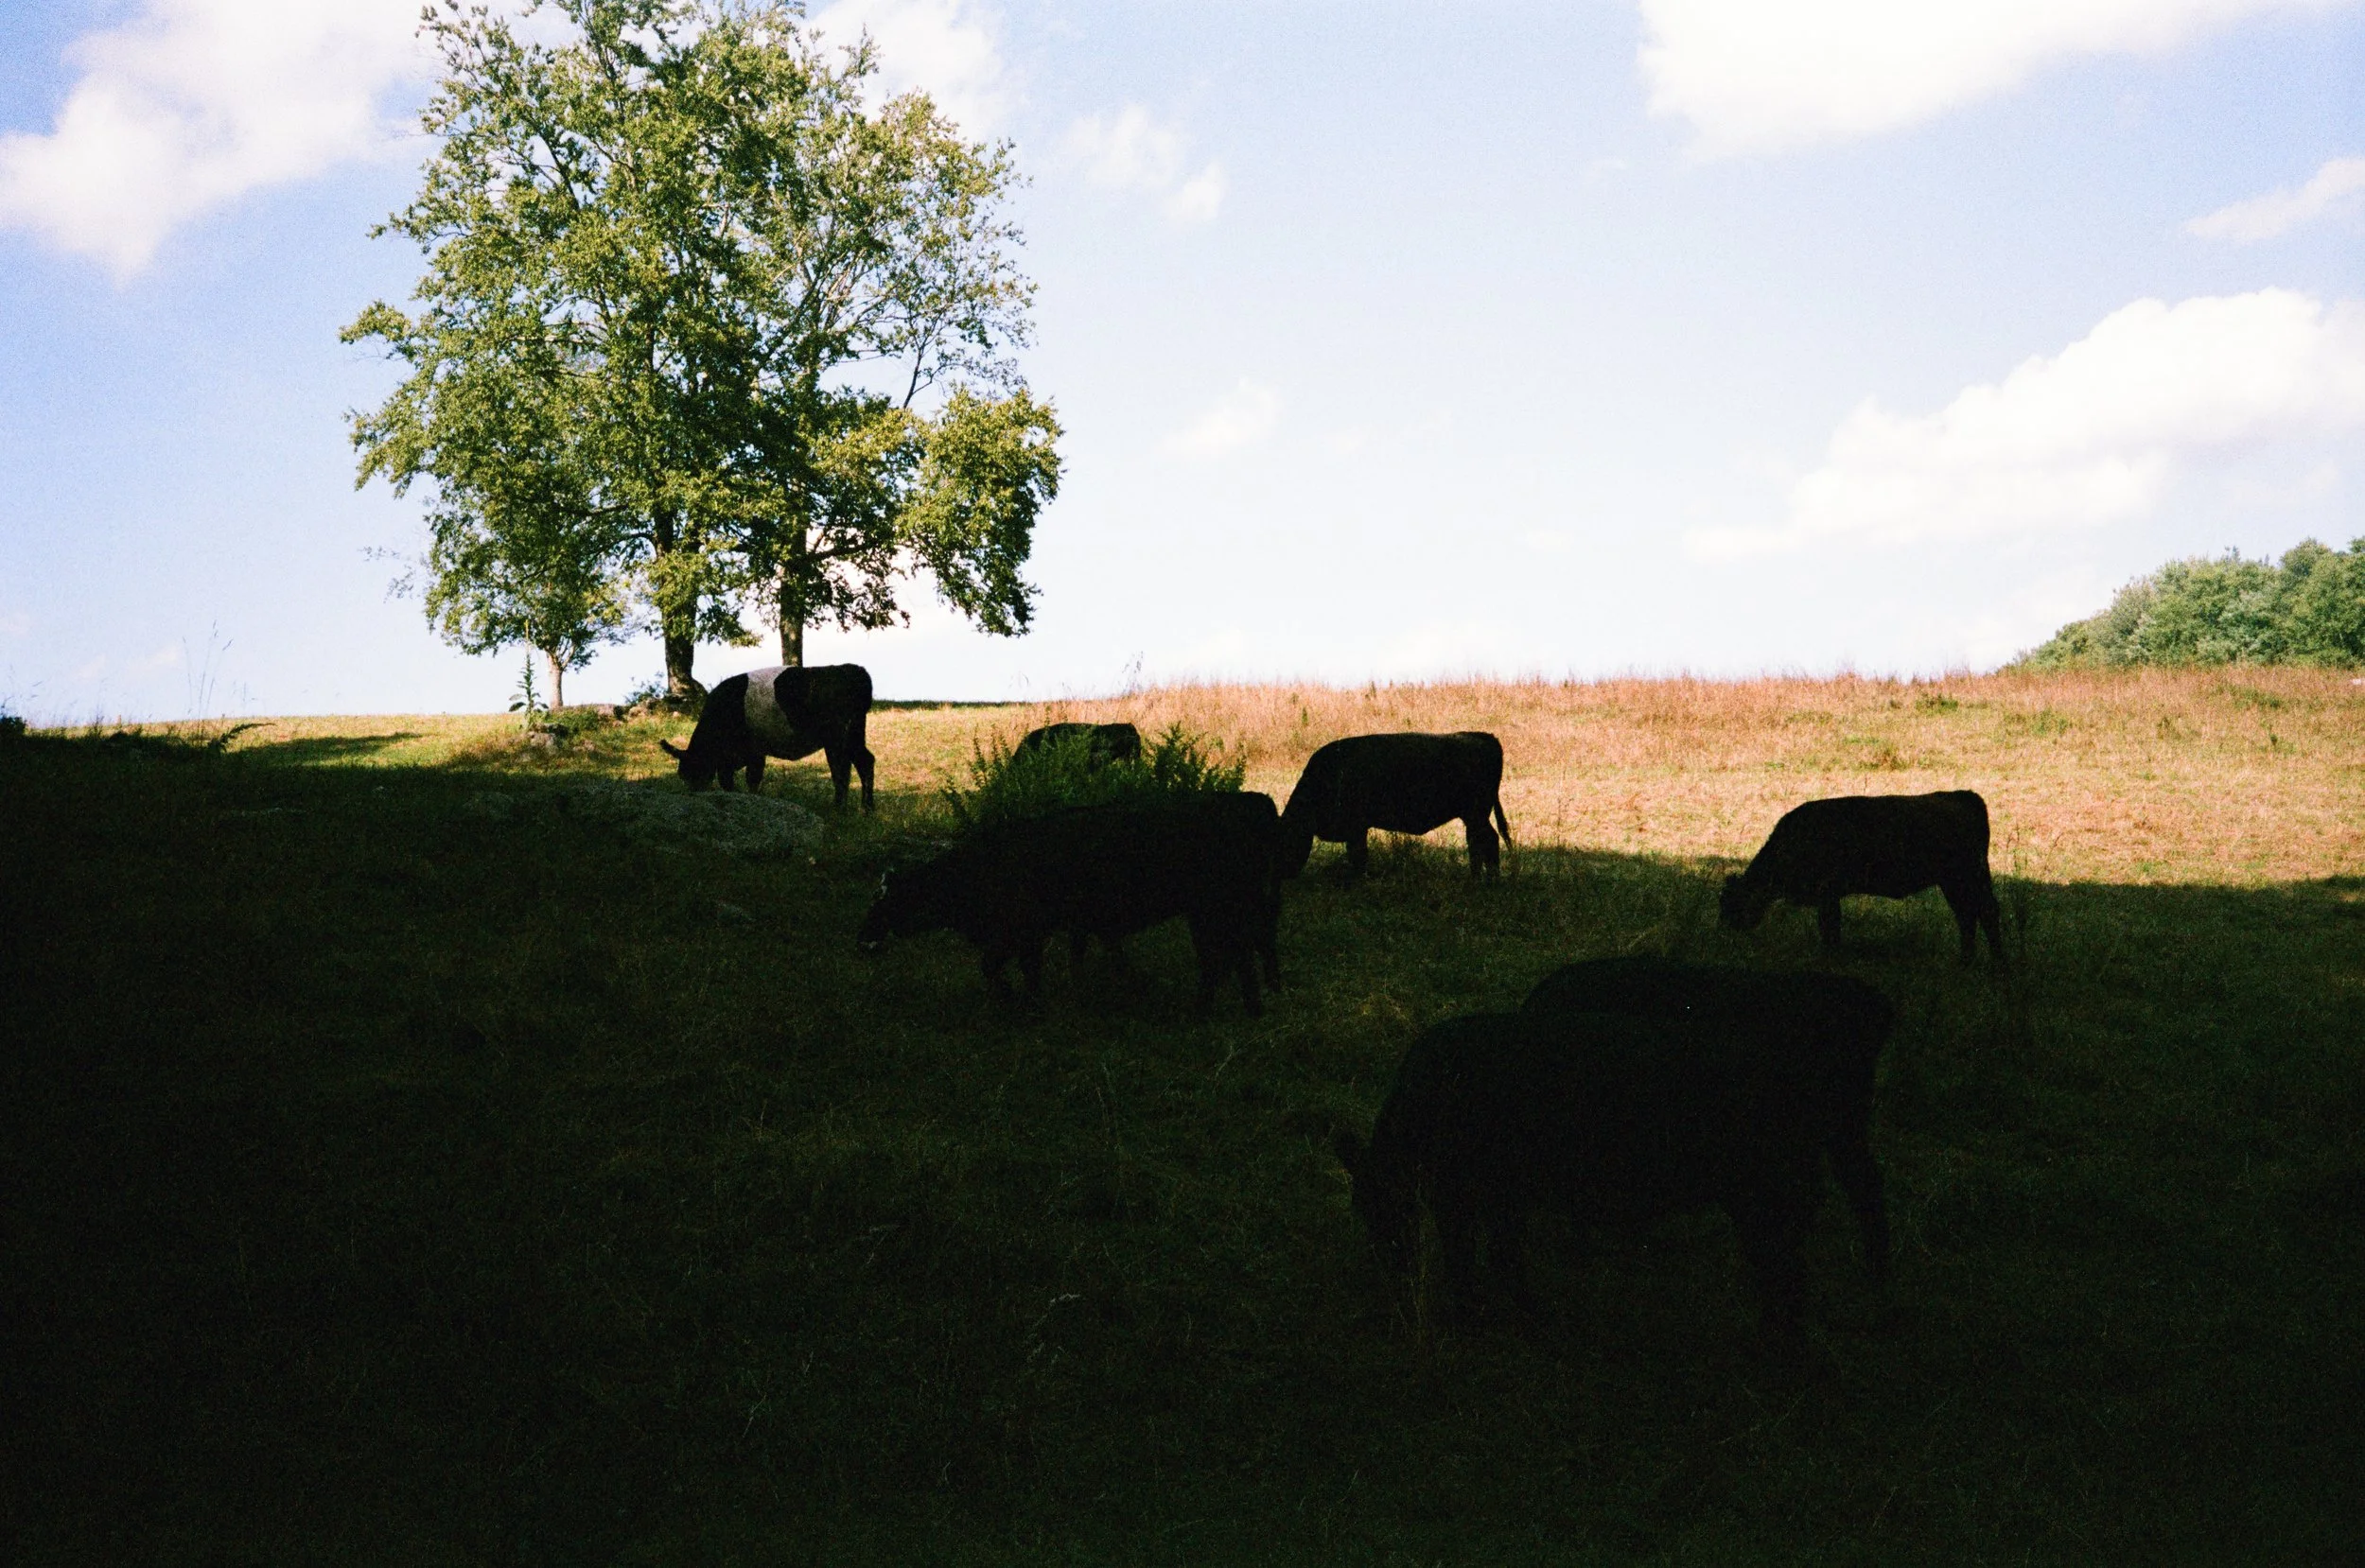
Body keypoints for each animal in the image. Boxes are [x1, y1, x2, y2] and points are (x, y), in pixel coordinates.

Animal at [657, 664, 876, 811]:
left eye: (694, 772)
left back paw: (839, 809)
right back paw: (867, 809)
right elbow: (735, 781)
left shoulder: (752, 752)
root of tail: (852, 670)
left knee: (841, 770)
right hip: (854, 734)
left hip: (837, 738)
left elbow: (748, 779)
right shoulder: (744, 755)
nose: (695, 795)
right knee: (865, 761)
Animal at [857, 791, 1284, 1015]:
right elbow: (1020, 969)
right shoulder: (1030, 936)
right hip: (1211, 912)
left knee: (1234, 955)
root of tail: (1249, 799)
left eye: (882, 902)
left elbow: (999, 967)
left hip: (1220, 908)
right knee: (1228, 957)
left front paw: (1018, 1001)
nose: (861, 940)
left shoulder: (1020, 932)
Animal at [1279, 731, 1511, 879]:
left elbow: (1358, 855)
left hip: (1476, 815)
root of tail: (1482, 736)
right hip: (1473, 817)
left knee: (1487, 840)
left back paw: (1489, 879)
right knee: (1477, 842)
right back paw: (1476, 876)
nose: (1284, 875)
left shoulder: (1356, 828)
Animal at [1333, 1002, 1886, 1344]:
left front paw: (1486, 1316)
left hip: (1768, 1195)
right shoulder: (1499, 1196)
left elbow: (1481, 1261)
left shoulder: (1467, 1196)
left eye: (1373, 1204)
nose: (1395, 1266)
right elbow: (1502, 1257)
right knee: (1781, 1268)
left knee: (1785, 1269)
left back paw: (1779, 1343)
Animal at [1720, 790, 2003, 965]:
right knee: (1967, 916)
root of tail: (1963, 796)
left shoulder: (1827, 894)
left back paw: (1996, 963)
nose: (1725, 926)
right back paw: (1965, 961)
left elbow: (1830, 927)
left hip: (1966, 878)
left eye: (1732, 902)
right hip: (1954, 883)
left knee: (1985, 913)